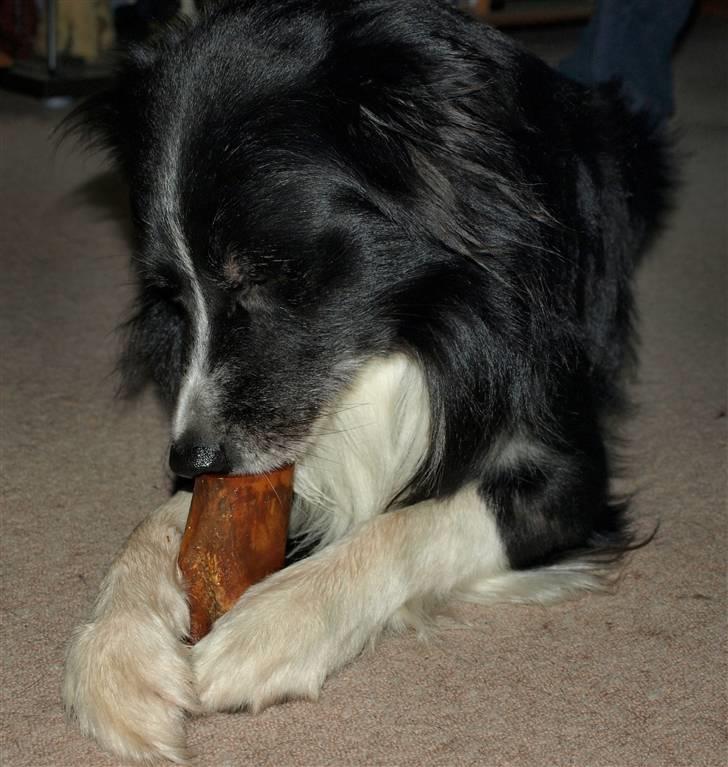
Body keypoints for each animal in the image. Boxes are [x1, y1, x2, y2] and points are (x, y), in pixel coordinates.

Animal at [62, 1, 672, 760]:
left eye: (264, 275)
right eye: (171, 295)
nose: (190, 456)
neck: (415, 327)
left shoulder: (569, 468)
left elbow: (415, 520)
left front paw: (273, 626)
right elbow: (160, 522)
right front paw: (115, 654)